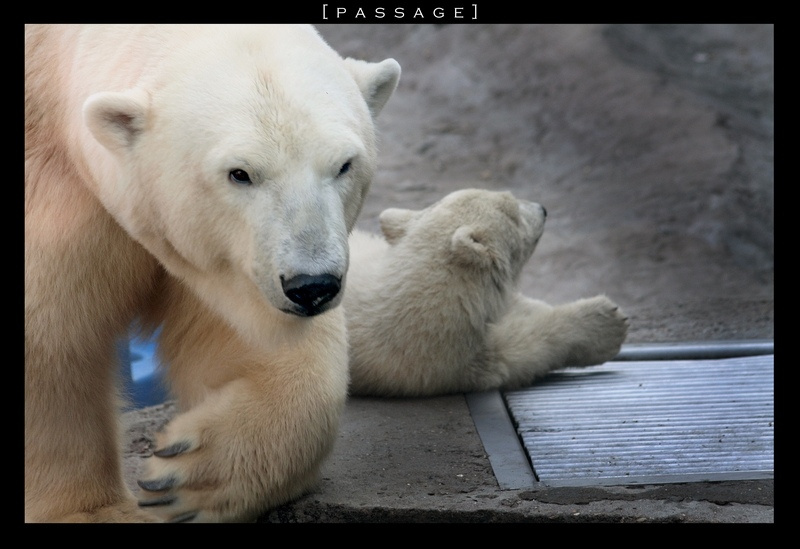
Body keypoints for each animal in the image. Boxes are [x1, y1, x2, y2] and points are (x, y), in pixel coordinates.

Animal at [25, 24, 400, 522]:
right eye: (239, 173)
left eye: (343, 165)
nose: (312, 286)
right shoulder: (54, 195)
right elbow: (53, 341)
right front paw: (96, 511)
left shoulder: (228, 261)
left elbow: (236, 332)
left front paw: (188, 475)